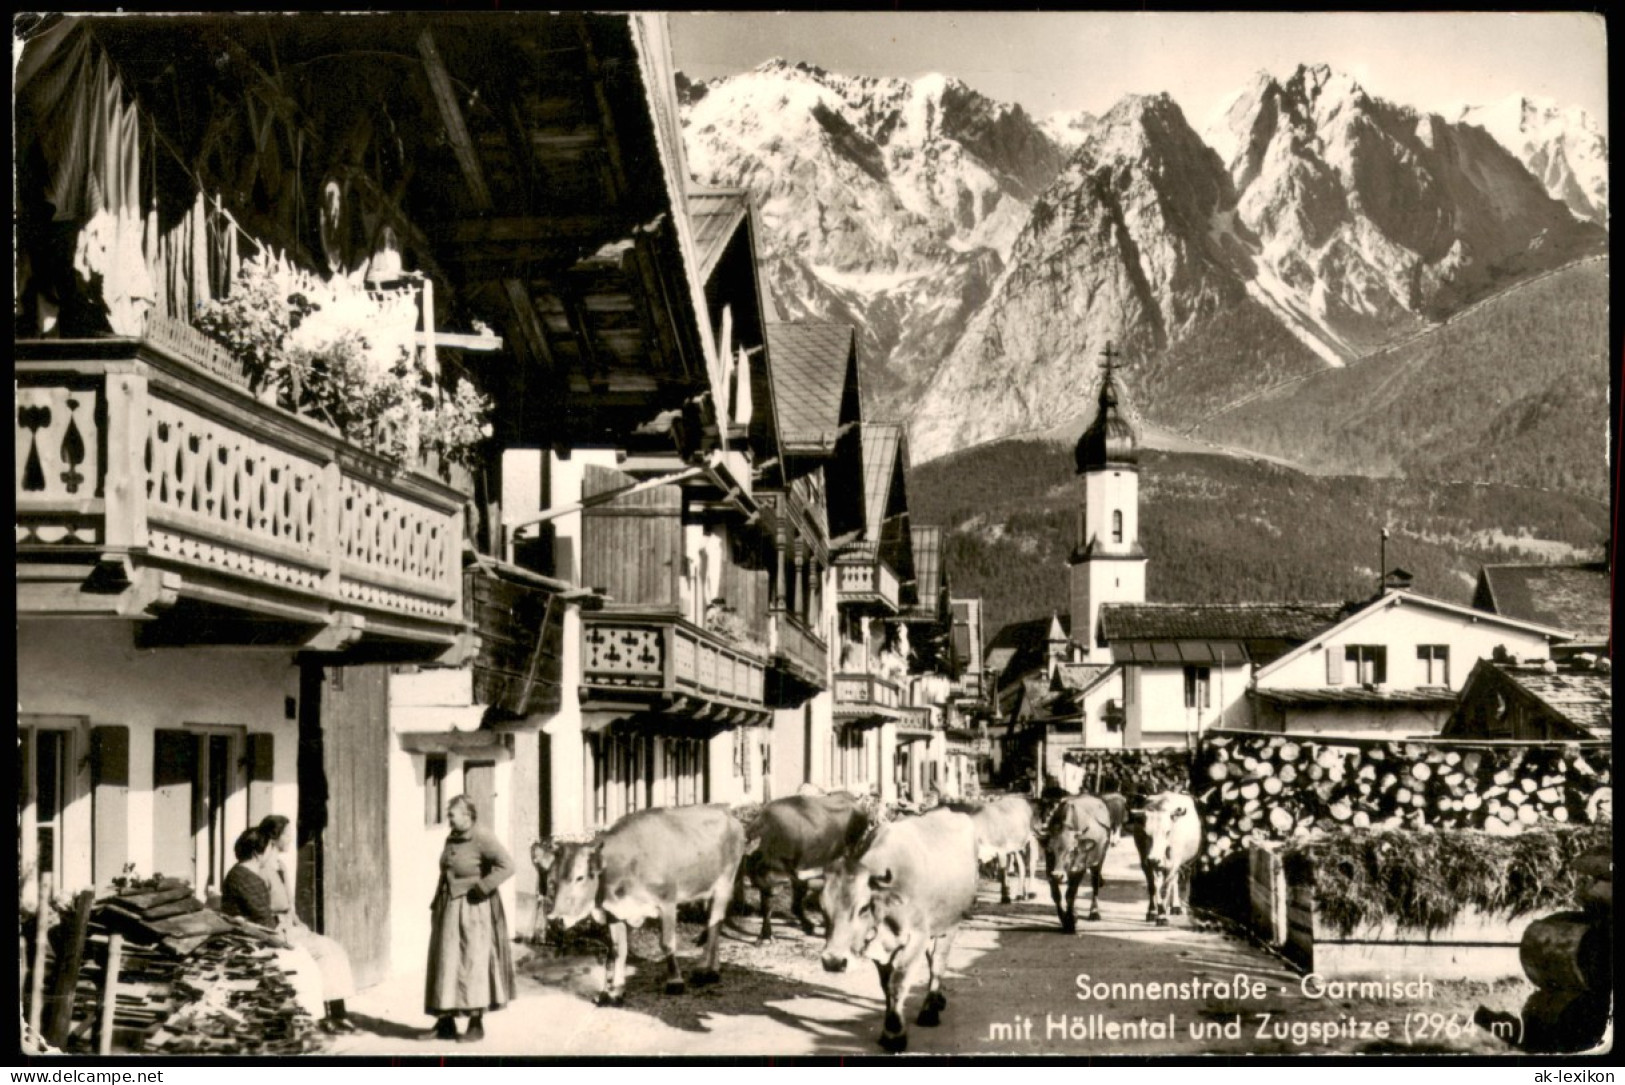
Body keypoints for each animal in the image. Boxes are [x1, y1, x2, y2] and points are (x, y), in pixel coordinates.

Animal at [546, 805, 747, 1007]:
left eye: (580, 877)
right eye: (552, 880)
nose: (555, 919)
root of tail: (729, 817)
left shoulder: (667, 902)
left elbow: (666, 943)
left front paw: (675, 981)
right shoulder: (614, 912)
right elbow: (619, 950)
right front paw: (616, 991)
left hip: (724, 884)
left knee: (715, 925)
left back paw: (708, 972)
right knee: (714, 923)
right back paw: (710, 966)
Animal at [744, 789, 877, 942]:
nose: (780, 880)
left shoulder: (799, 872)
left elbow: (795, 905)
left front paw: (809, 926)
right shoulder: (766, 882)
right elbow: (766, 906)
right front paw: (765, 935)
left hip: (852, 850)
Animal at [825, 805, 975, 1052]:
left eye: (863, 907)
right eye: (821, 907)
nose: (833, 962)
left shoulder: (917, 936)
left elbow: (898, 983)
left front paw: (895, 1034)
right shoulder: (879, 944)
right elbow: (886, 985)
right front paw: (889, 1027)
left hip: (950, 922)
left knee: (938, 965)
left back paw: (930, 1010)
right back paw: (938, 1001)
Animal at [1040, 789, 1118, 935]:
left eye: (1072, 851)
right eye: (1049, 851)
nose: (1058, 875)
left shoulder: (1079, 869)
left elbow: (1070, 894)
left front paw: (1070, 923)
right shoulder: (1049, 872)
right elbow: (1057, 896)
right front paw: (1065, 920)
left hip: (1099, 859)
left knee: (1094, 885)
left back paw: (1094, 912)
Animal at [1131, 789, 1209, 922]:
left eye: (1167, 832)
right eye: (1146, 833)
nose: (1153, 859)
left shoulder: (1173, 864)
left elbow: (1165, 889)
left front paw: (1162, 915)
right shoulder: (1146, 863)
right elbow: (1153, 887)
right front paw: (1152, 912)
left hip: (1188, 862)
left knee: (1182, 880)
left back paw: (1179, 907)